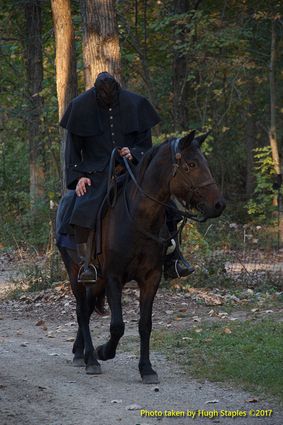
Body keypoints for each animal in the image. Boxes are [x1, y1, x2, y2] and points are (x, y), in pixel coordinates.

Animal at [56, 131, 226, 382]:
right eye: (191, 164)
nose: (218, 205)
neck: (137, 218)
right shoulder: (114, 277)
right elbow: (117, 325)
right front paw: (104, 351)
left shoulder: (150, 278)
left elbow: (145, 324)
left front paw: (146, 368)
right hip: (76, 272)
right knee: (81, 311)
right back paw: (91, 359)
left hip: (97, 281)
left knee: (86, 309)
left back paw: (81, 353)